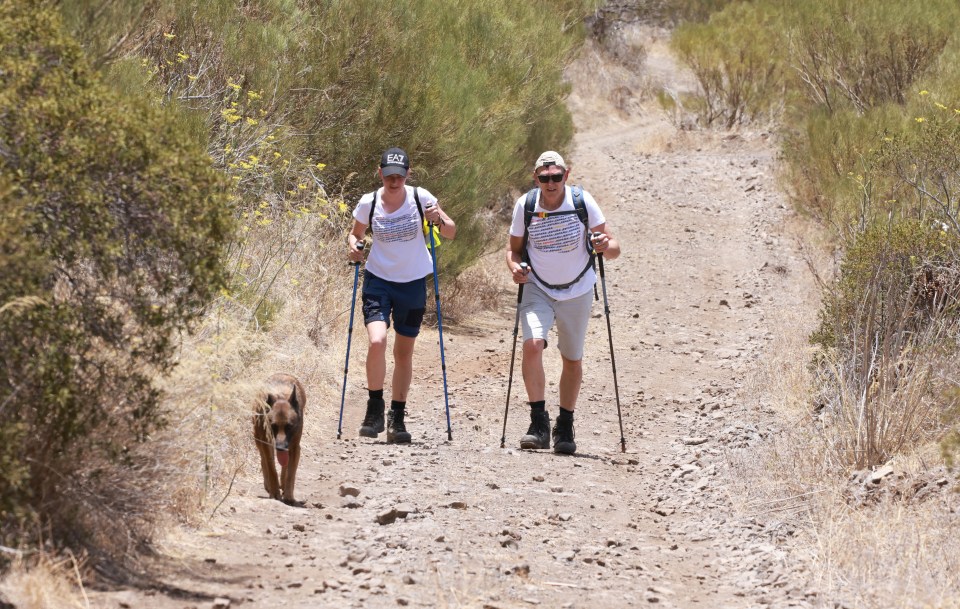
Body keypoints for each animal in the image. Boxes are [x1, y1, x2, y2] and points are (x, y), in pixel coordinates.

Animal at [253, 376, 306, 504]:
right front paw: (275, 492)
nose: (280, 448)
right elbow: (271, 469)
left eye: (289, 426)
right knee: (263, 460)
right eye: (273, 426)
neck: (281, 396)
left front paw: (288, 495)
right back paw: (269, 485)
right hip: (259, 440)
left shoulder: (294, 447)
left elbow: (291, 473)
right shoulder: (267, 444)